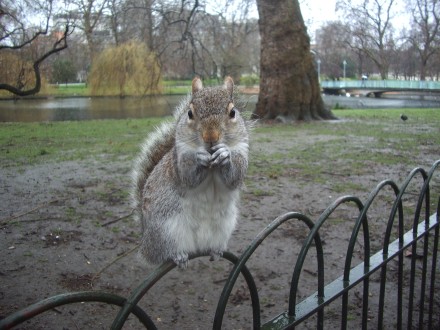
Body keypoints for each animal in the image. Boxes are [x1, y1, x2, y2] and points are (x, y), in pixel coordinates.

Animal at [131, 77, 249, 268]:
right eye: (190, 113)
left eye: (232, 112)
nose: (211, 137)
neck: (212, 165)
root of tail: (145, 243)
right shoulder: (178, 162)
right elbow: (188, 177)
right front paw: (198, 158)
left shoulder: (242, 152)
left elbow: (234, 177)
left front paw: (225, 155)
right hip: (166, 230)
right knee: (165, 252)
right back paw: (178, 255)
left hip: (225, 226)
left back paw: (216, 251)